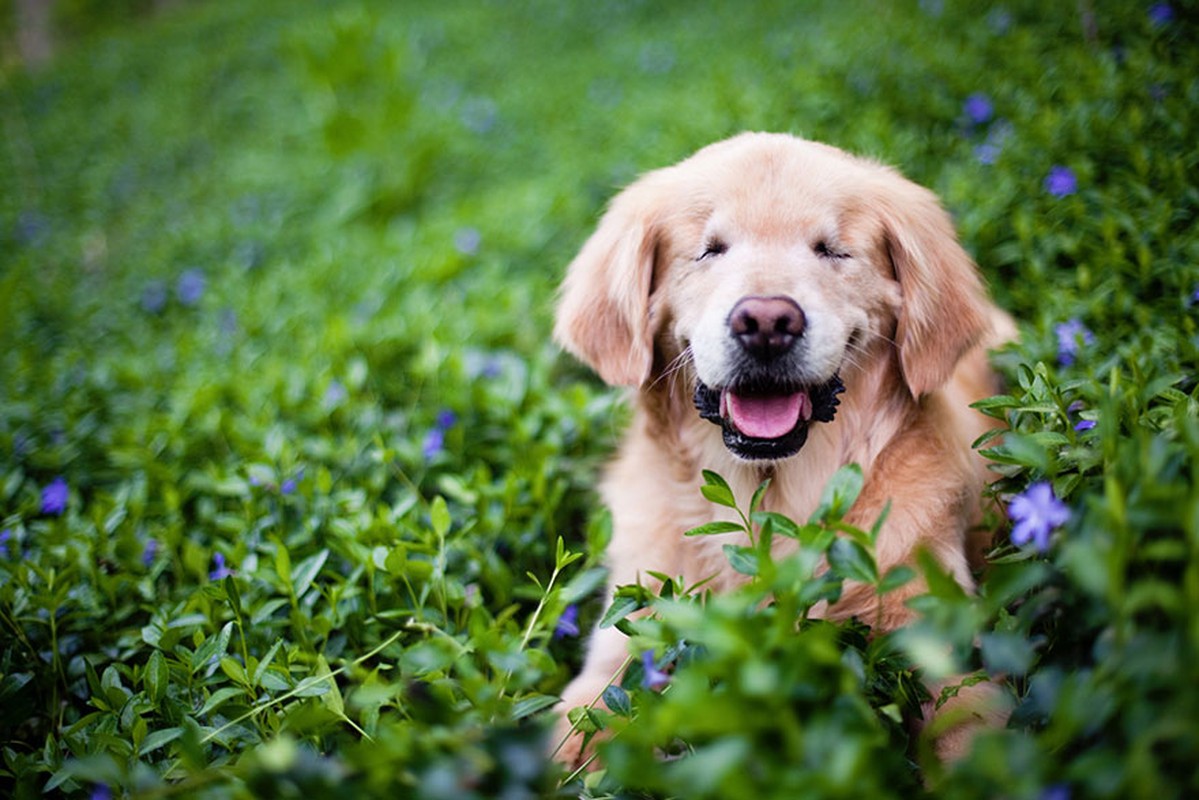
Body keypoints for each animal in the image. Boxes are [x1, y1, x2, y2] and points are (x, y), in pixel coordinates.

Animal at [551, 133, 1011, 767]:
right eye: (709, 251)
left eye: (832, 251)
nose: (767, 321)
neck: (772, 499)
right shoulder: (624, 639)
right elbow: (579, 725)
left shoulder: (931, 632)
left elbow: (968, 730)